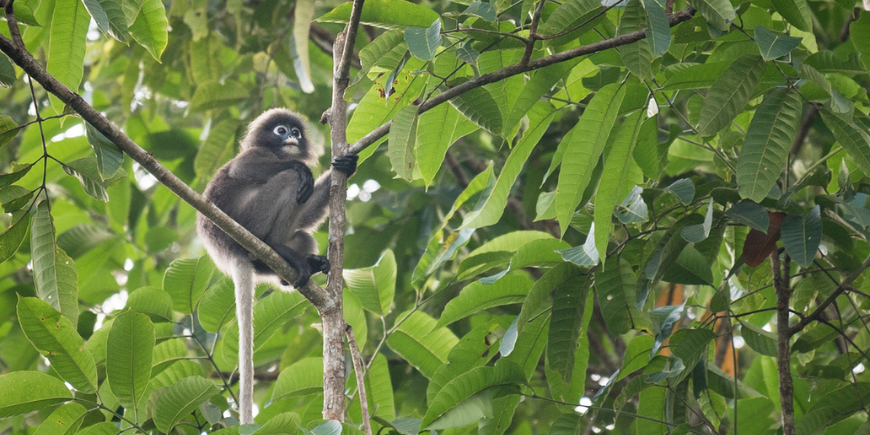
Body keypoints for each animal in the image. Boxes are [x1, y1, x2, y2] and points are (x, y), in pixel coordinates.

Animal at [198, 109, 358, 426]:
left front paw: (348, 166)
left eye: (296, 131)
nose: (292, 138)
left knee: (302, 233)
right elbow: (243, 168)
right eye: (281, 130)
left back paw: (299, 266)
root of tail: (232, 249)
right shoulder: (254, 154)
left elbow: (306, 213)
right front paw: (302, 166)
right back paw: (274, 242)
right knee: (288, 178)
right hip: (251, 220)